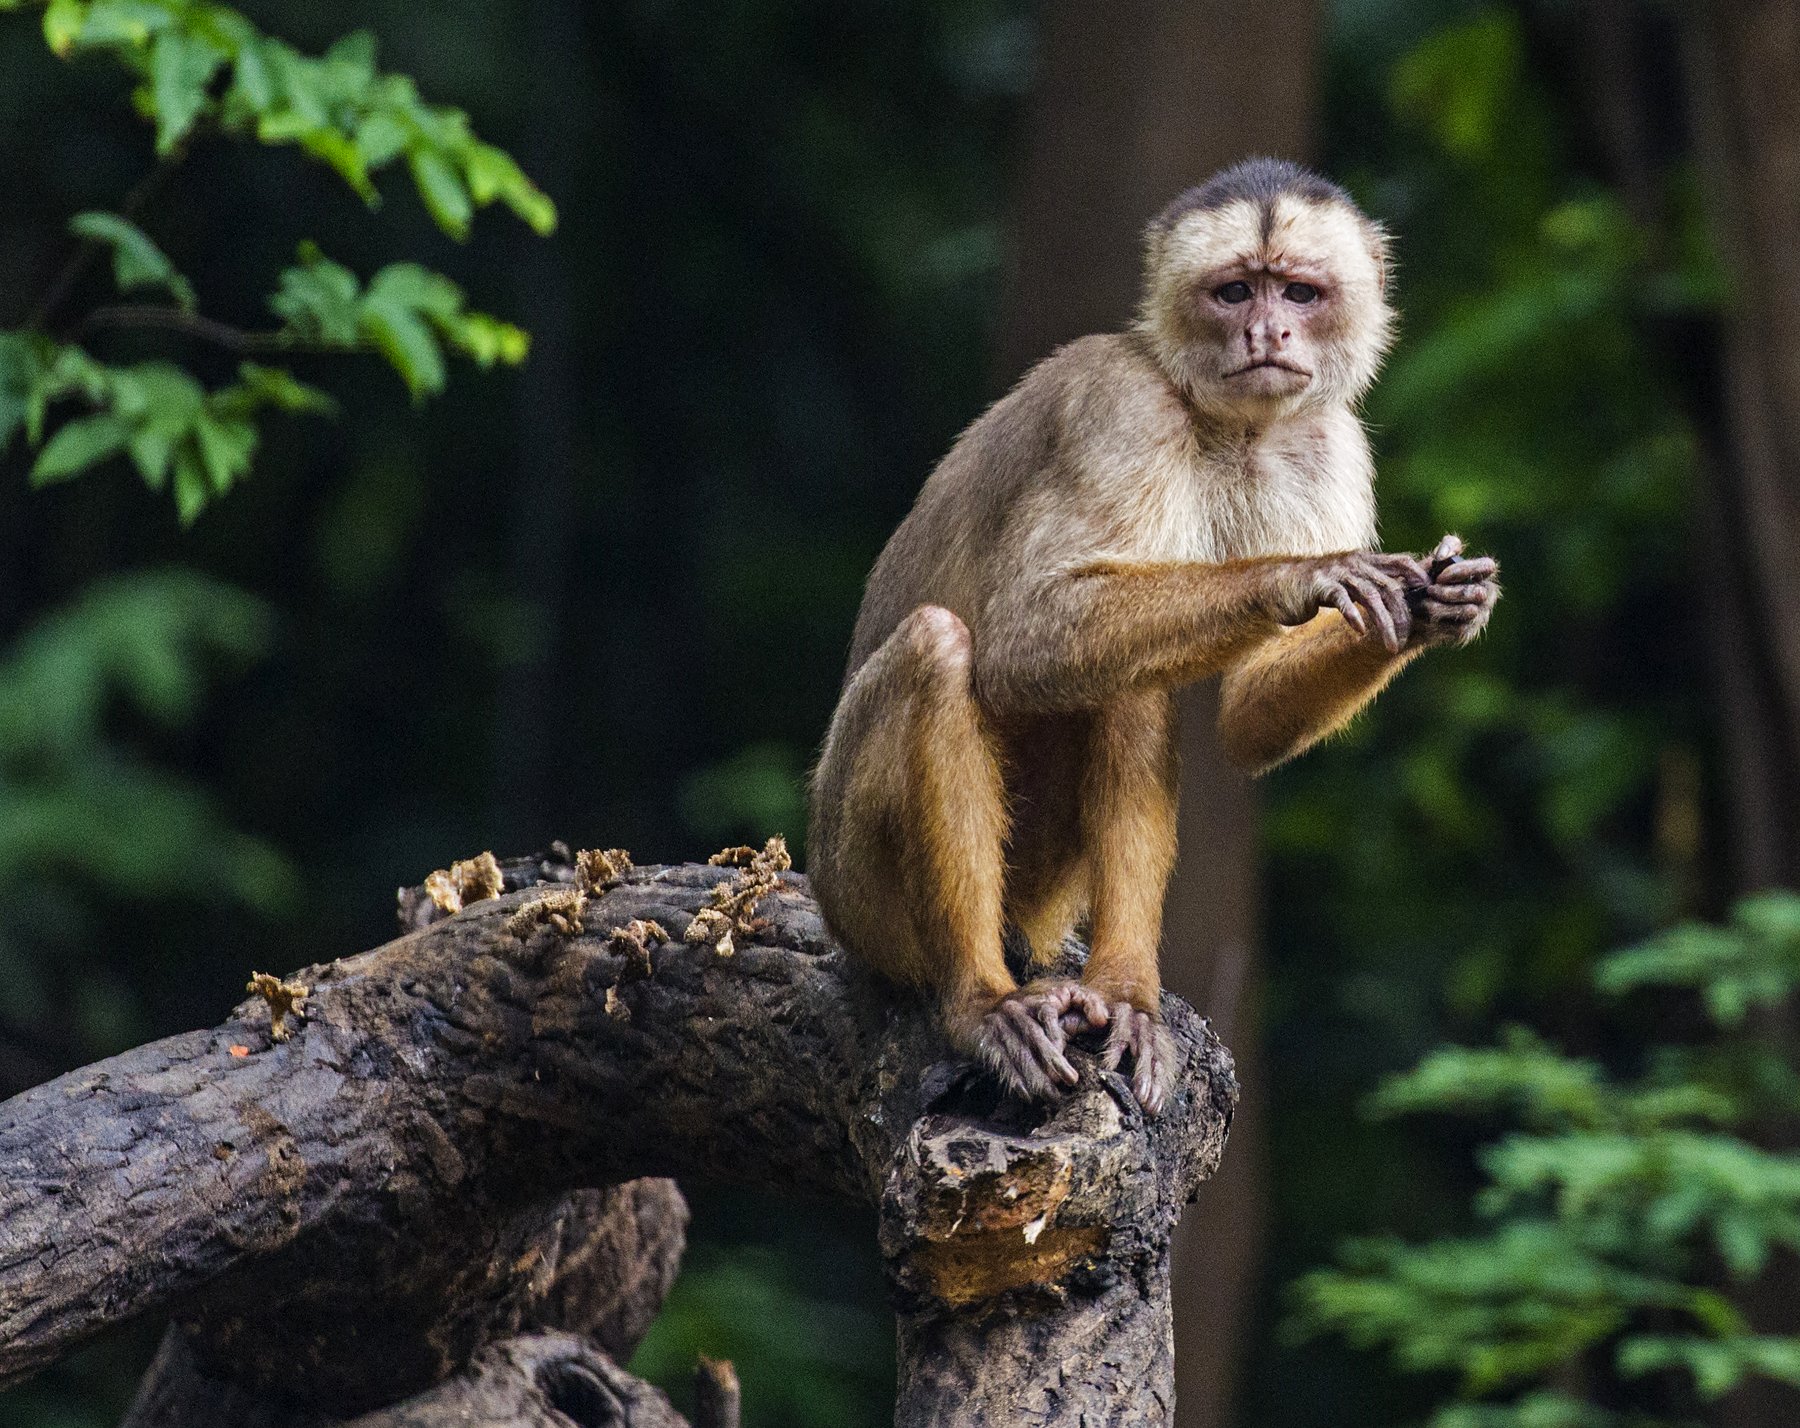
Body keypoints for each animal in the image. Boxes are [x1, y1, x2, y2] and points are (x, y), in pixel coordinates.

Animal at [806, 158, 1499, 1116]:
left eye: (1299, 291)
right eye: (1235, 291)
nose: (1267, 330)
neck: (1225, 421)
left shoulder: (1327, 442)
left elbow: (1245, 715)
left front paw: (1432, 610)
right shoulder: (1120, 403)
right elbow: (1026, 636)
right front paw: (1305, 574)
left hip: (1039, 889)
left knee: (1130, 681)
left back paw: (1124, 989)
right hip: (854, 893)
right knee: (941, 649)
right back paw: (979, 1001)